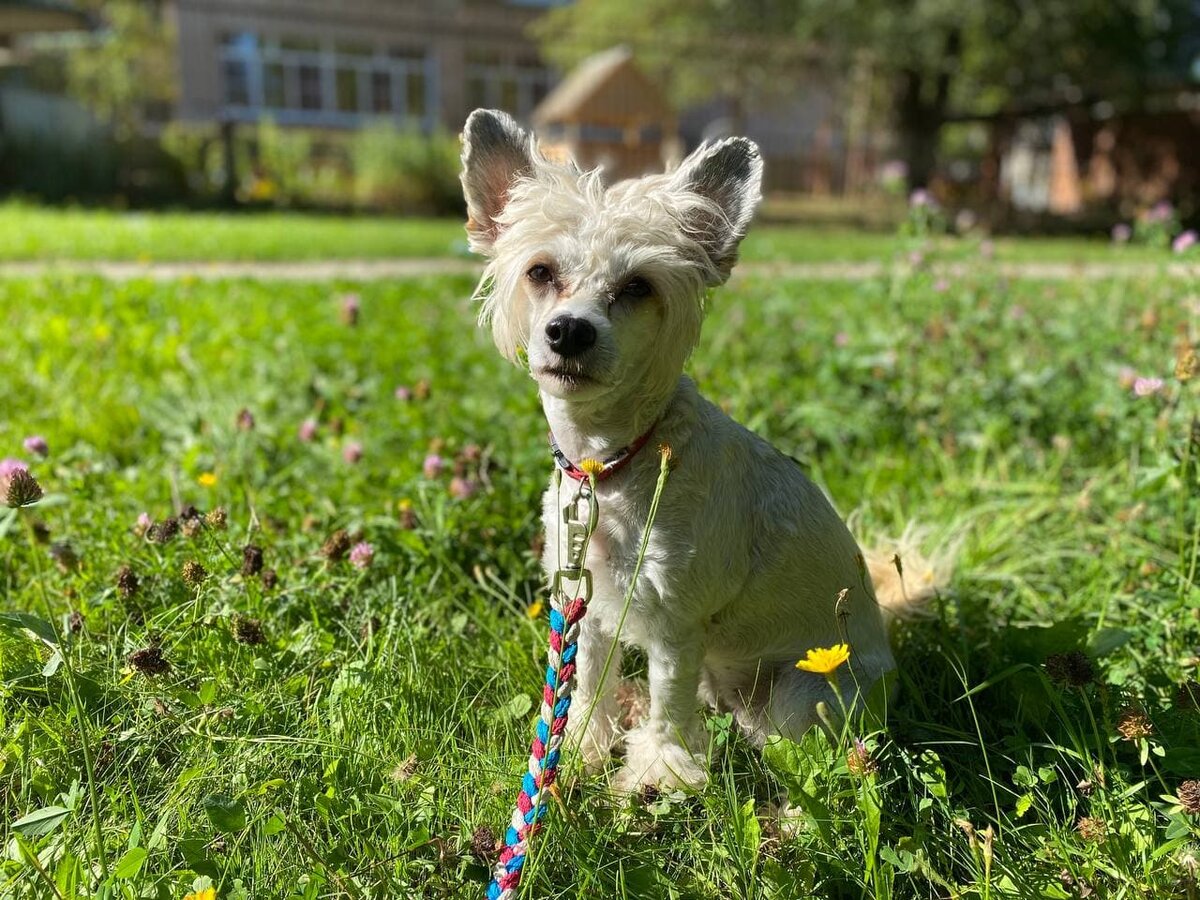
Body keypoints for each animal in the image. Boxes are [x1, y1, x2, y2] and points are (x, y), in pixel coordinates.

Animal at [463, 109, 940, 792]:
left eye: (637, 287)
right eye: (540, 273)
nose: (570, 330)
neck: (612, 465)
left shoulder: (675, 625)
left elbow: (667, 705)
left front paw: (659, 772)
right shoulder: (591, 607)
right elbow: (586, 685)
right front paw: (578, 746)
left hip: (804, 696)